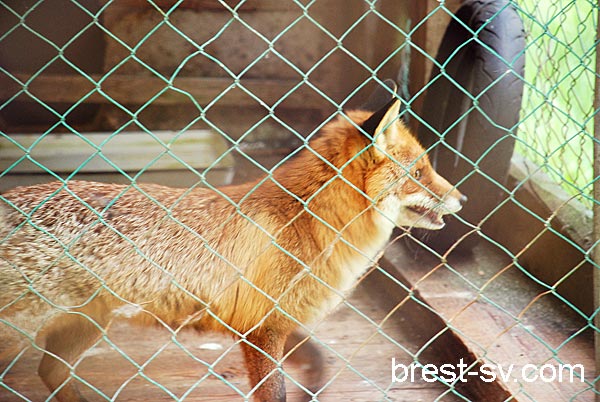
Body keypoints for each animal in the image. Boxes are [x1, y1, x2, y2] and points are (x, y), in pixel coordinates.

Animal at [0, 80, 465, 402]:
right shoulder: (262, 331)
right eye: (419, 172)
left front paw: (314, 389)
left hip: (85, 325)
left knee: (50, 372)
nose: (462, 198)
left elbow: (317, 362)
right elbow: (274, 393)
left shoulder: (273, 323)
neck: (311, 219)